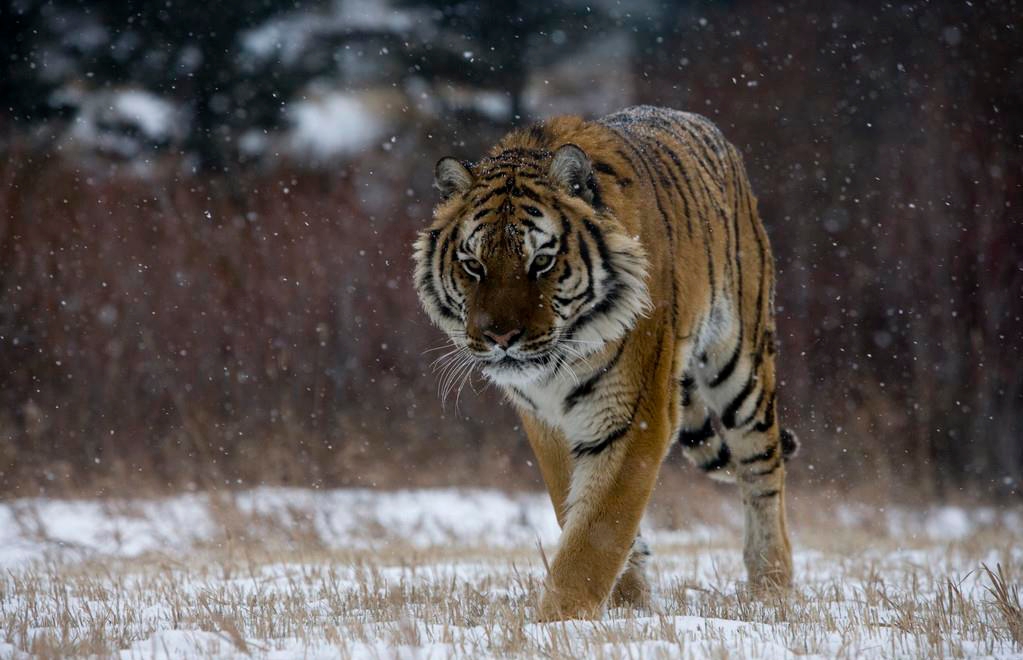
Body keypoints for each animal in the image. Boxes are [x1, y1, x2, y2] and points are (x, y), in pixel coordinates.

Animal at [411, 102, 793, 618]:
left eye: (541, 262)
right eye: (473, 265)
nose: (500, 336)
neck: (555, 369)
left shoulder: (633, 416)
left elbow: (597, 532)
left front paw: (559, 620)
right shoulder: (544, 421)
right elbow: (578, 509)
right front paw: (628, 602)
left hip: (740, 364)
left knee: (763, 469)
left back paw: (772, 584)